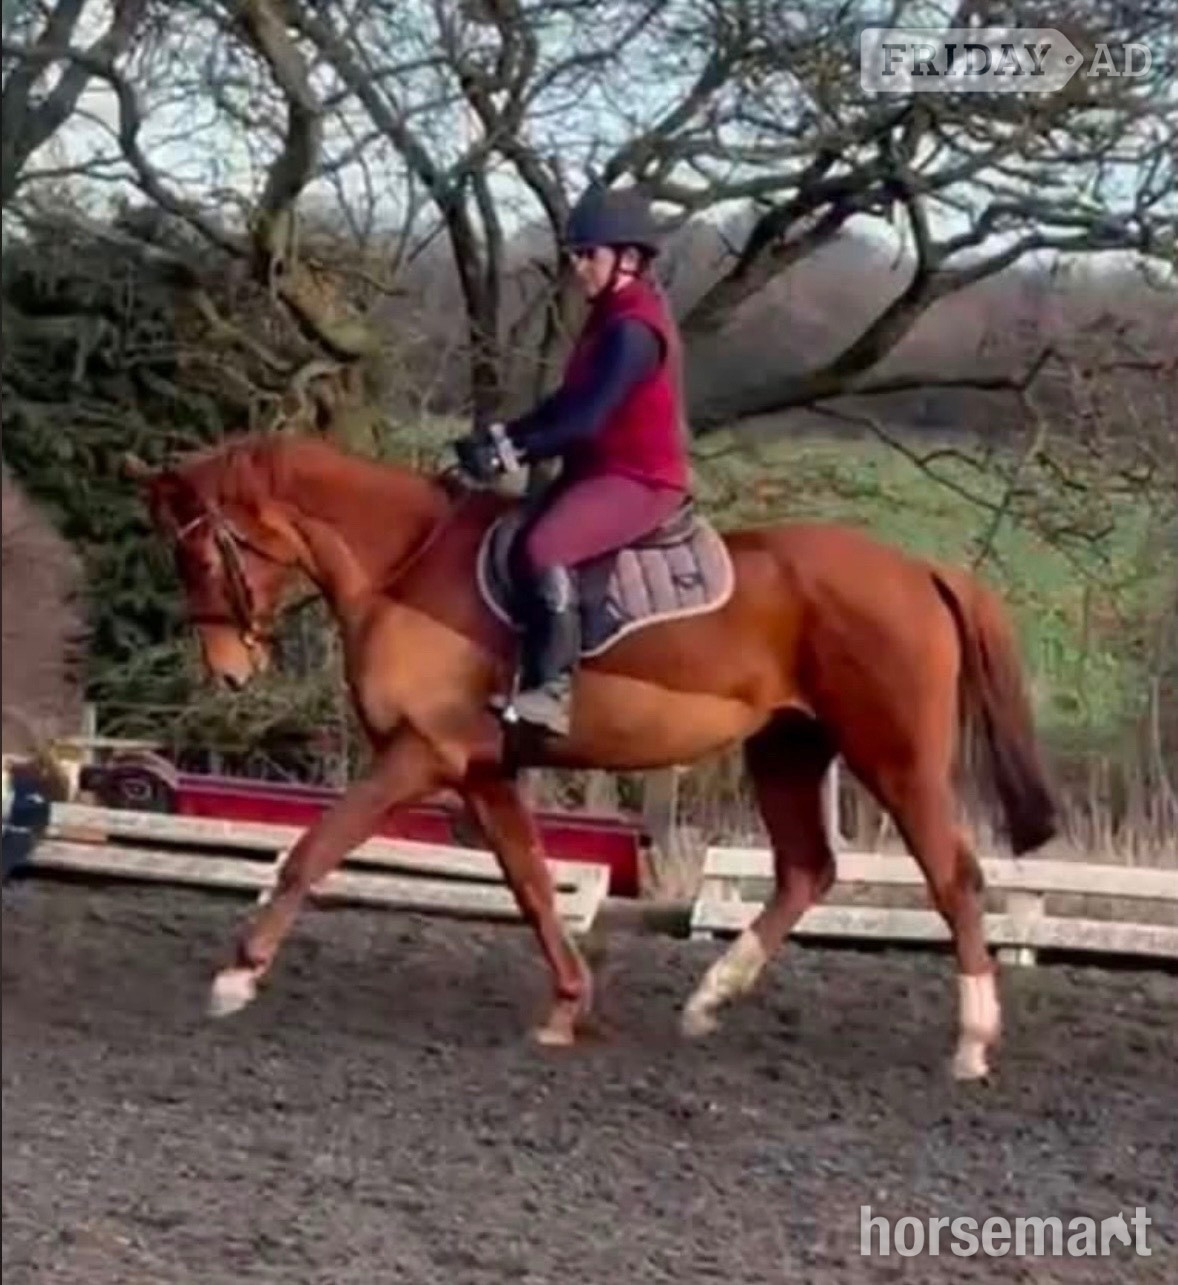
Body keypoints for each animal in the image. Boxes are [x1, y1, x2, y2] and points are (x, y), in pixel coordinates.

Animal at [126, 431, 1058, 1080]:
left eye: (201, 550)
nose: (230, 671)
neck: (406, 567)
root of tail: (922, 569)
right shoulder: (484, 770)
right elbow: (534, 885)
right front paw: (567, 1007)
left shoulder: (421, 754)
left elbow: (312, 850)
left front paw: (236, 976)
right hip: (788, 749)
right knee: (806, 869)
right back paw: (709, 998)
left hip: (893, 757)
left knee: (953, 876)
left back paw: (971, 1042)